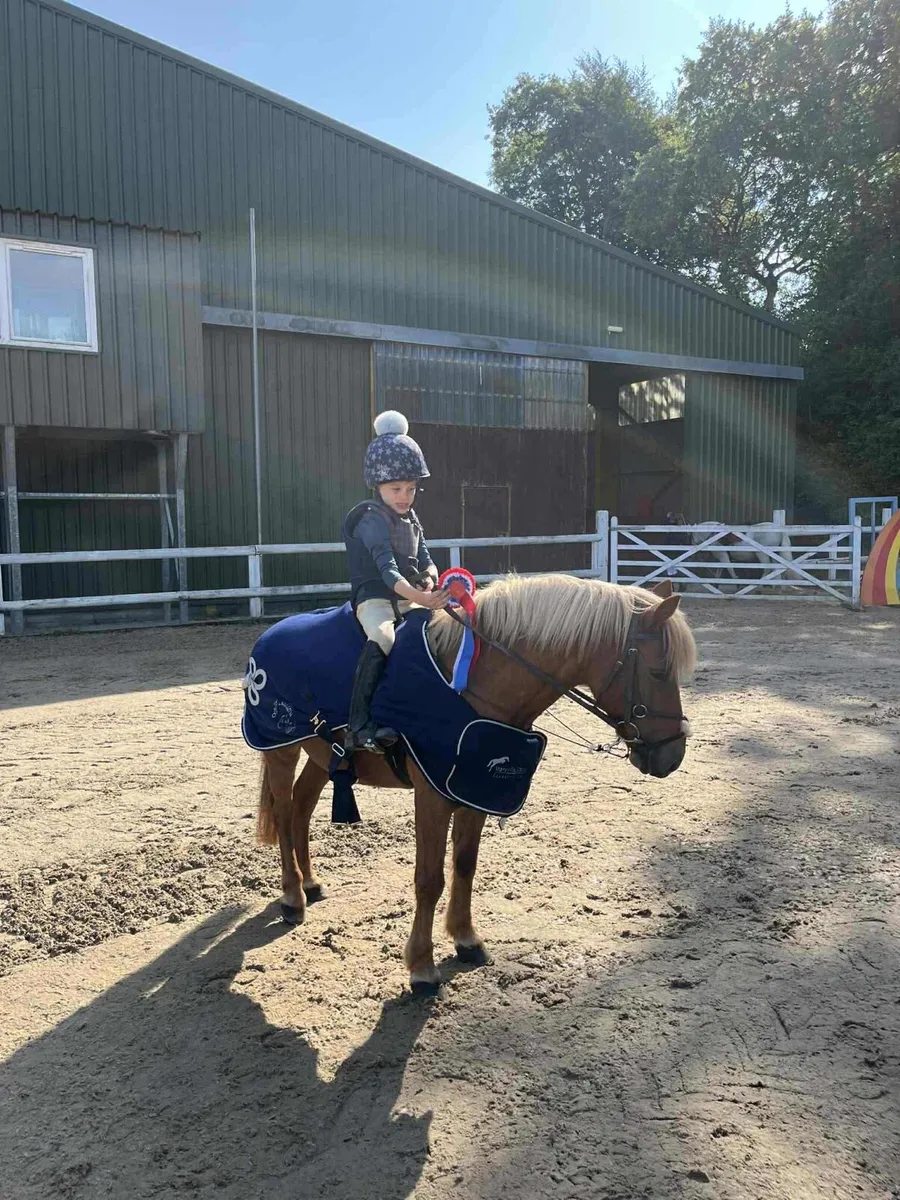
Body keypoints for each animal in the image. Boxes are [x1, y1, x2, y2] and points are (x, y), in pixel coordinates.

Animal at [253, 574, 697, 995]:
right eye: (659, 671)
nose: (673, 755)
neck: (471, 683)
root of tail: (270, 634)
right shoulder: (433, 796)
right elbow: (429, 879)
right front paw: (422, 968)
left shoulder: (471, 789)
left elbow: (465, 865)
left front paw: (466, 939)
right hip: (281, 751)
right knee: (284, 813)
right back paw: (292, 897)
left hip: (323, 756)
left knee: (302, 808)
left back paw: (310, 883)